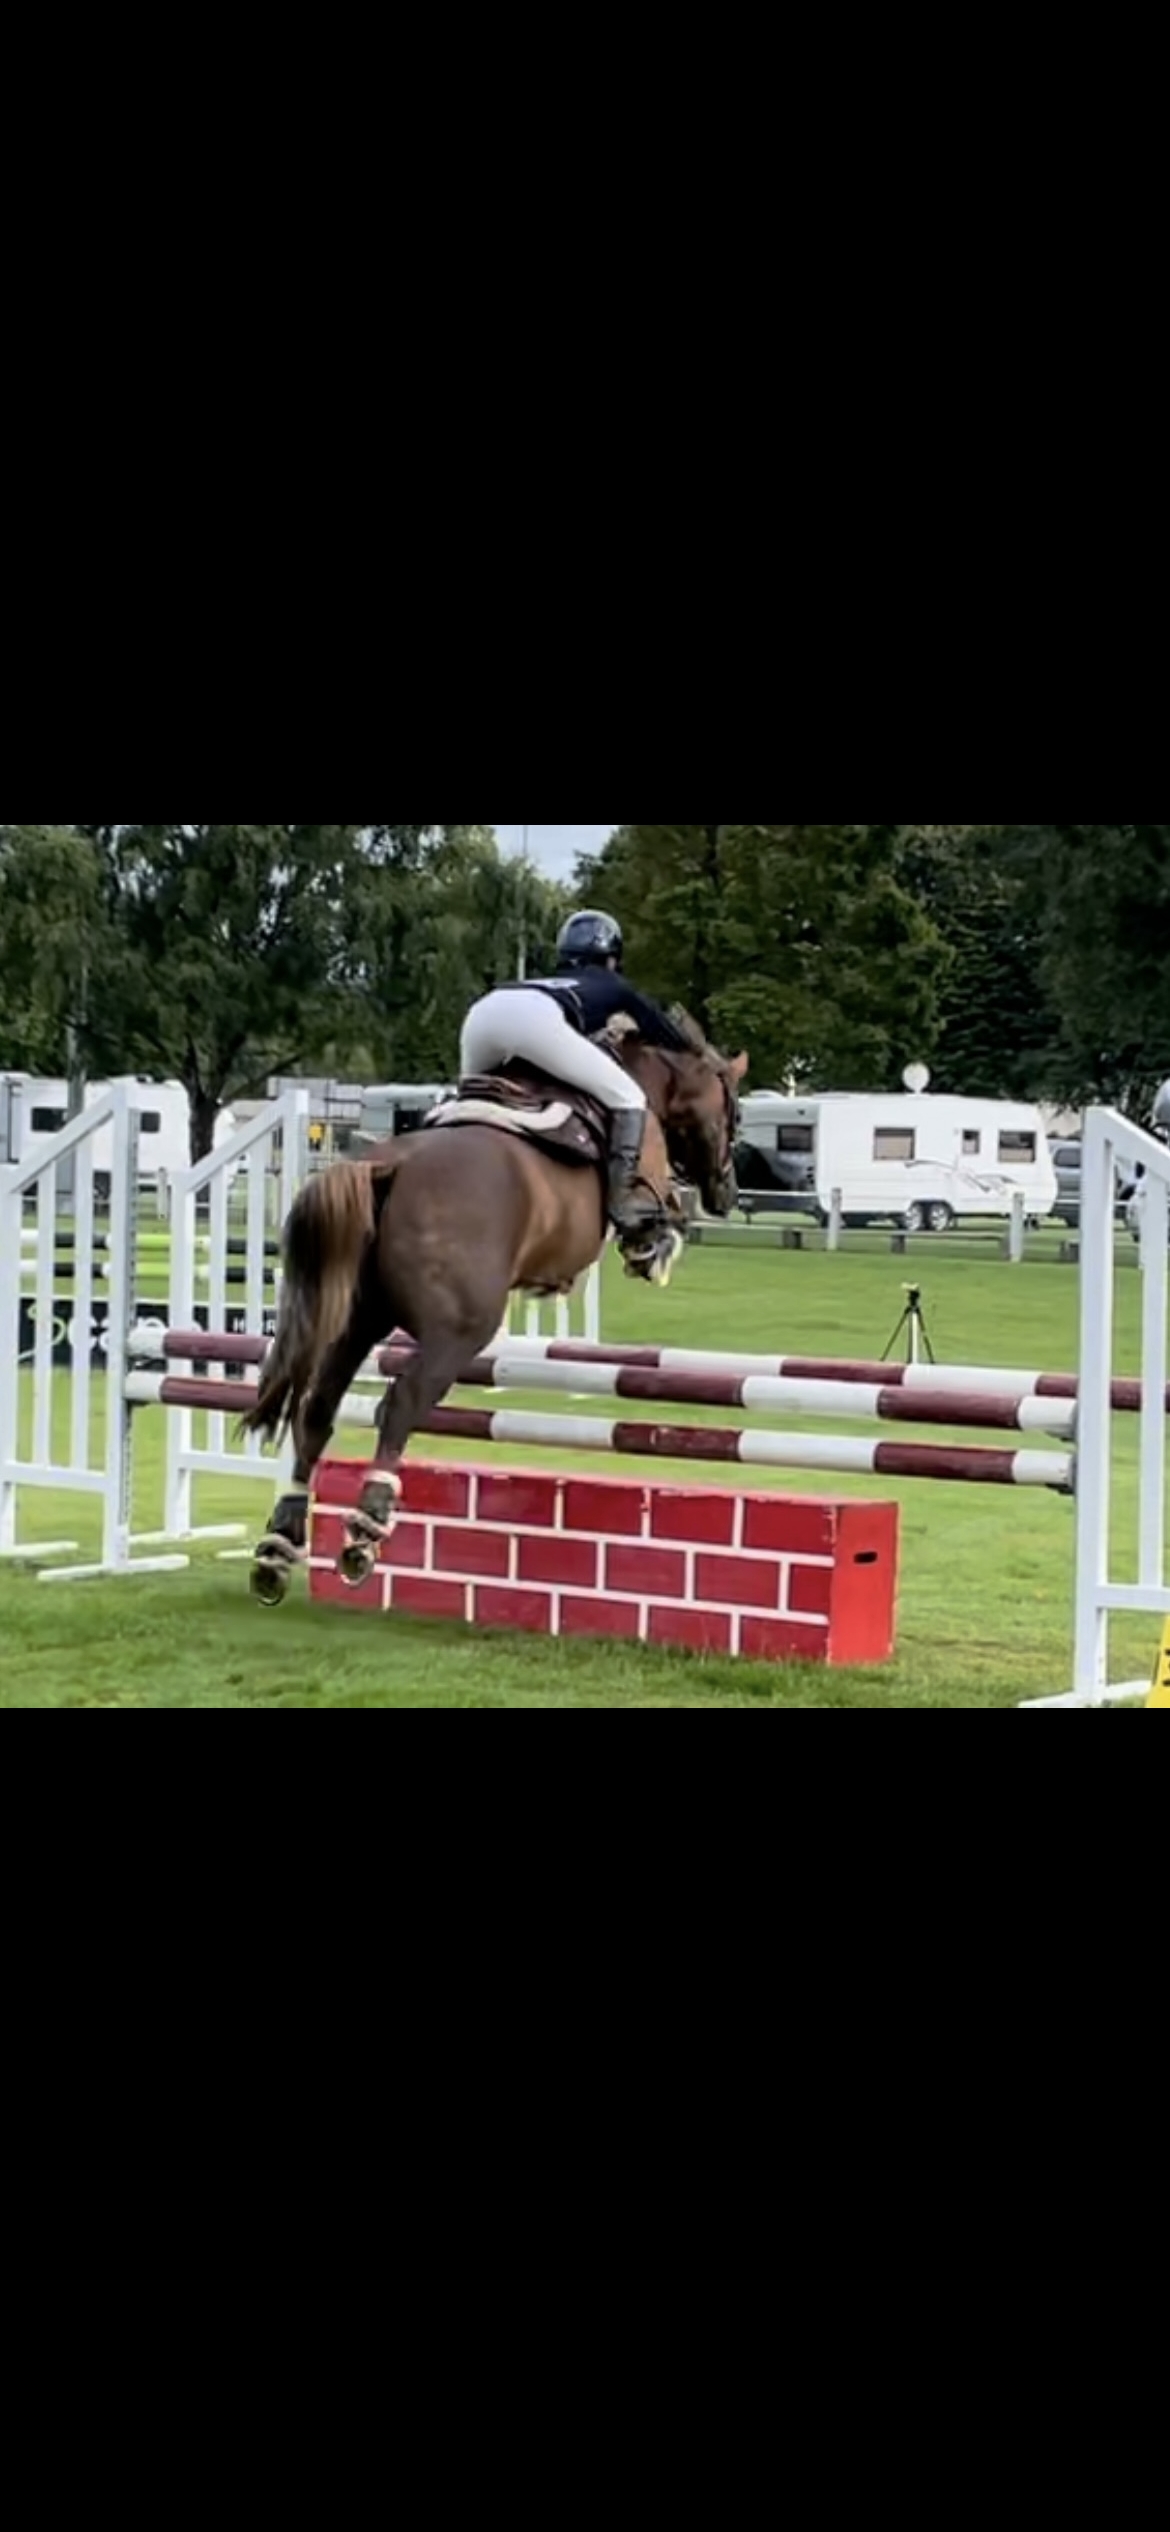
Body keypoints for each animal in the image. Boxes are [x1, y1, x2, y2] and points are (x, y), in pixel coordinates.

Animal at [243, 1024, 747, 1600]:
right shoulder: (647, 1173)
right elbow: (656, 1213)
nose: (727, 1193)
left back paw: (279, 1545)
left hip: (359, 1320)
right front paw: (655, 1249)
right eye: (734, 1114)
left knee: (317, 1409)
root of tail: (389, 1165)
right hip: (460, 1330)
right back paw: (367, 1529)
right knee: (401, 1403)